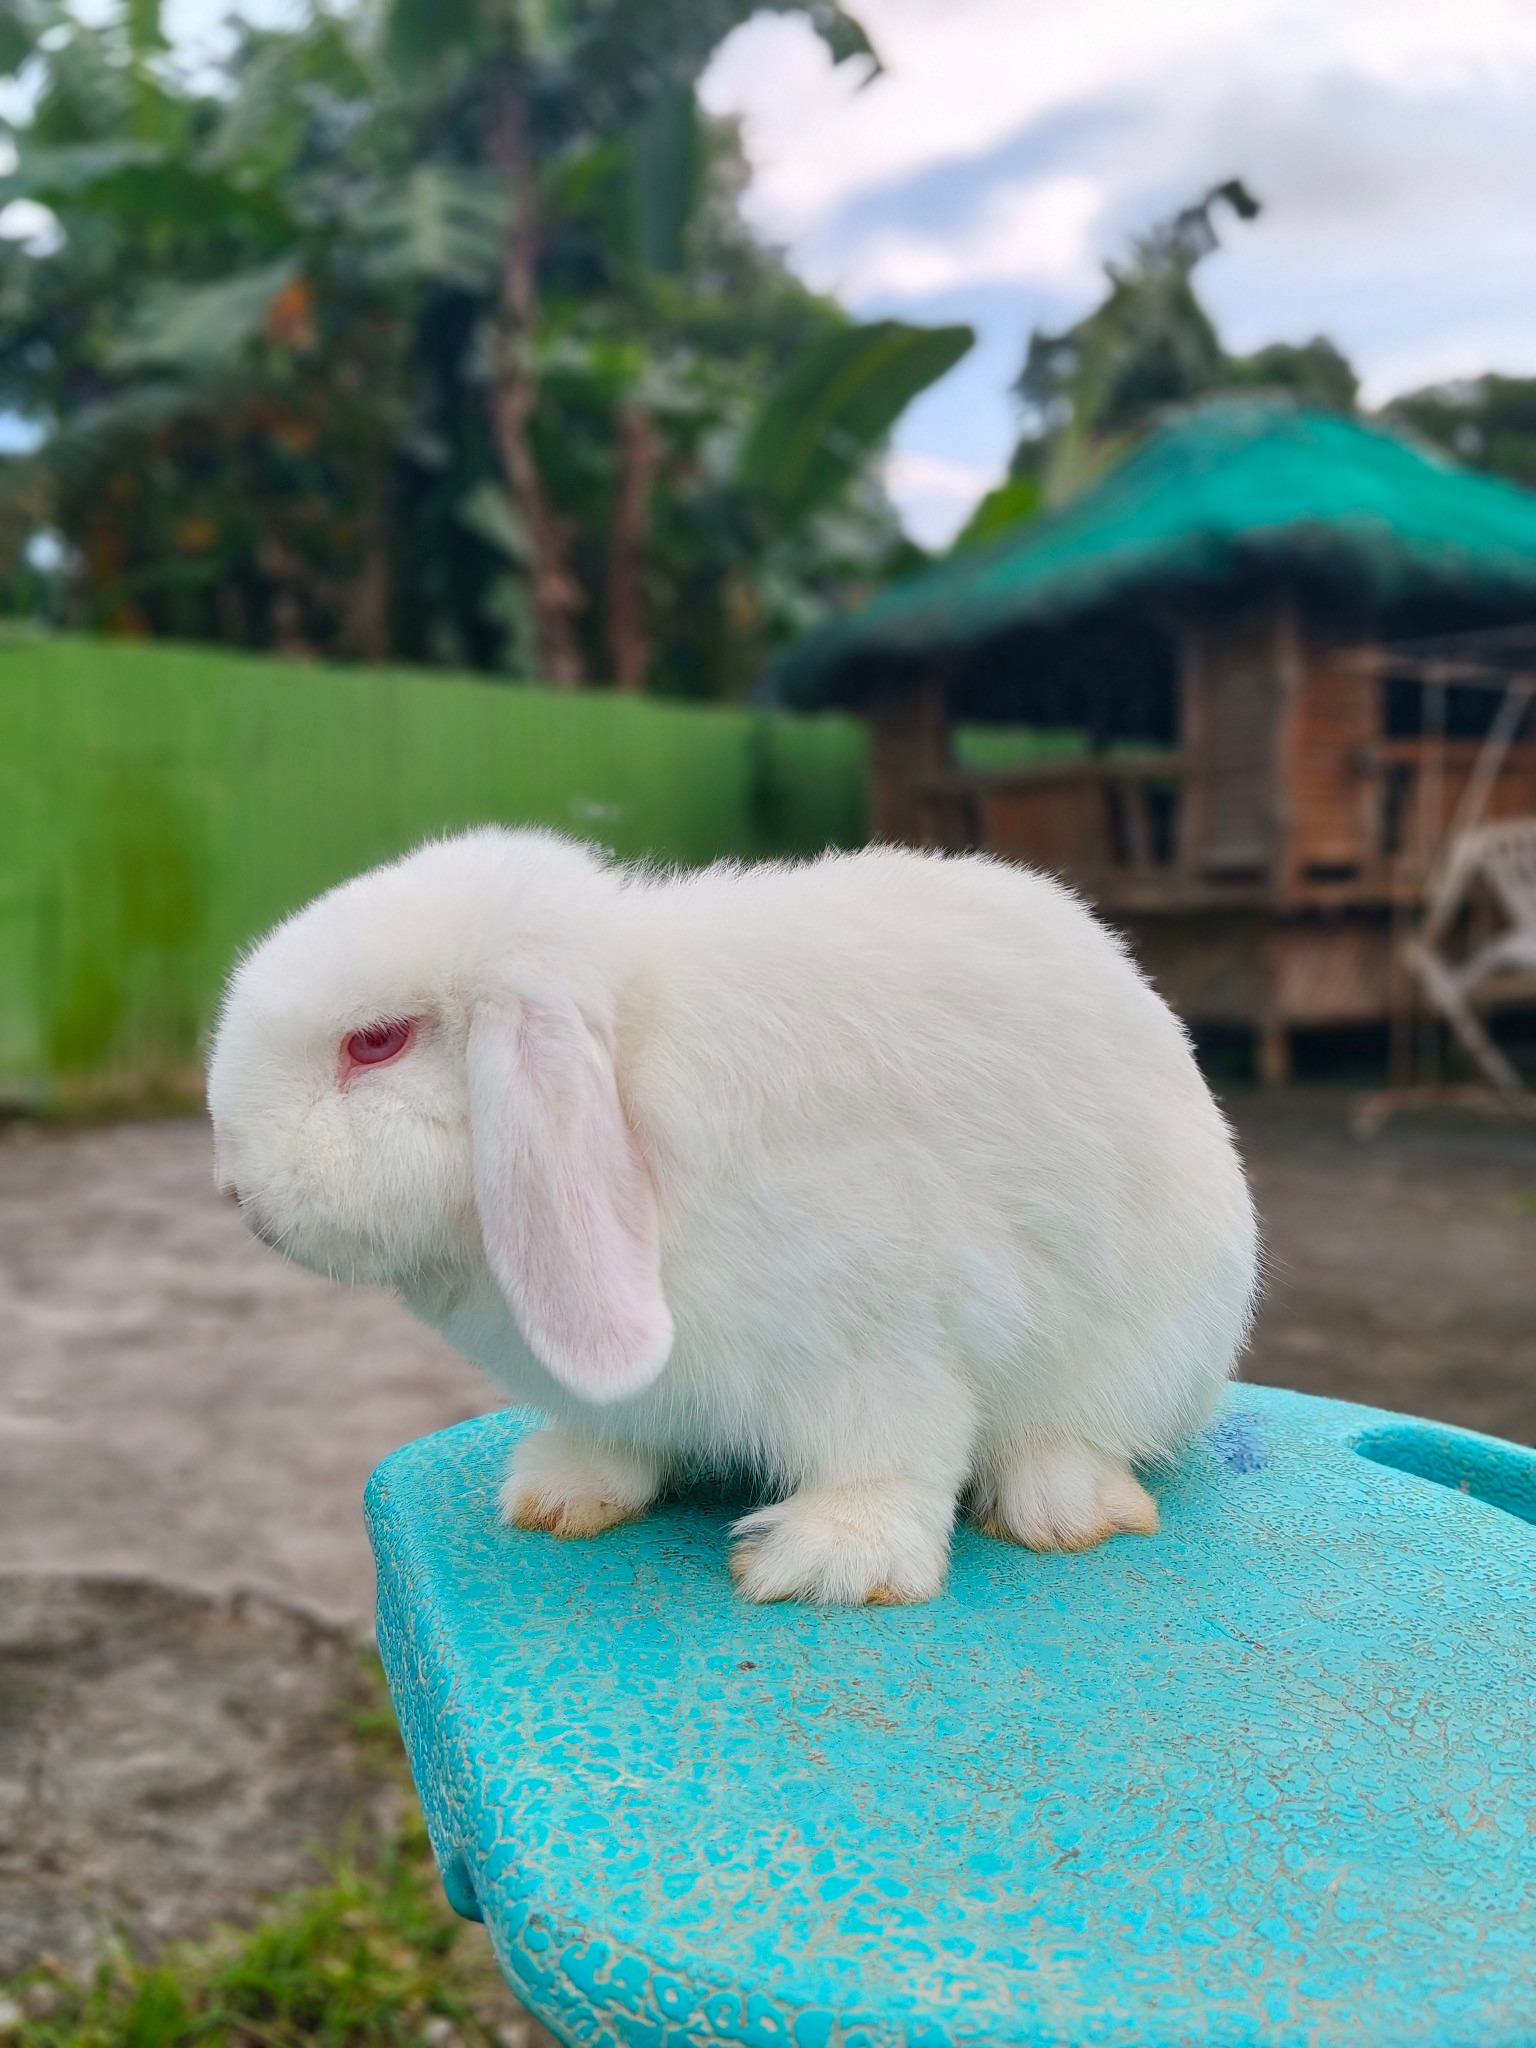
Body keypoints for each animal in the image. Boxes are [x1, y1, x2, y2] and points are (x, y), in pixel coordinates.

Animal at [208, 826, 1258, 1607]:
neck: (627, 1075)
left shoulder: (882, 1340)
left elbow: (894, 1452)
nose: (233, 1191)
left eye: (374, 1043)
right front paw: (562, 1492)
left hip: (1144, 1348)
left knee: (1080, 1434)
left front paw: (833, 1560)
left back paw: (1058, 1508)